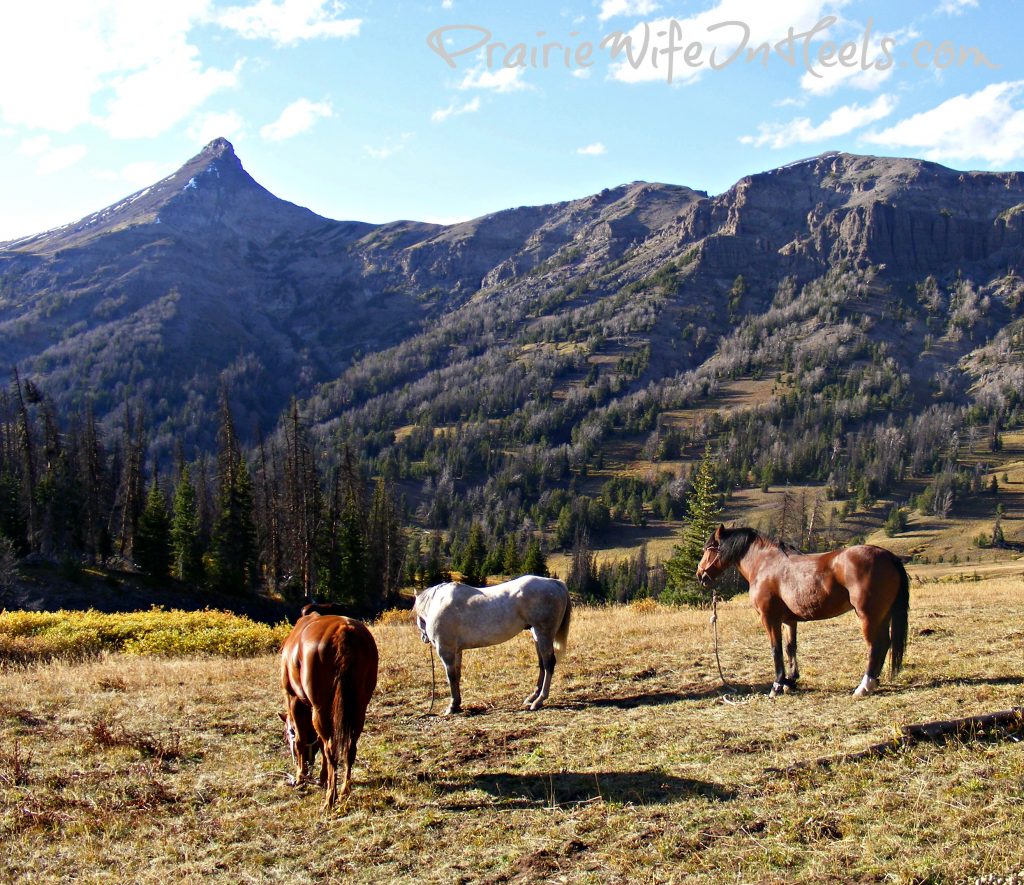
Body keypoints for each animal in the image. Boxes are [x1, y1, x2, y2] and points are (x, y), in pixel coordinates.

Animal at [278, 606, 378, 807]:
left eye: (286, 735)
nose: (306, 768)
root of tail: (344, 631)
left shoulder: (294, 699)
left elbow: (300, 740)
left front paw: (300, 777)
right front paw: (323, 777)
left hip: (320, 708)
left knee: (331, 748)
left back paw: (330, 799)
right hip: (358, 708)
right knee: (349, 748)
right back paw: (344, 790)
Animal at [415, 577, 577, 717]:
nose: (424, 638)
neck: (438, 603)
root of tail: (555, 582)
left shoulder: (445, 650)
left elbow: (451, 677)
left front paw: (452, 706)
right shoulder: (457, 651)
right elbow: (457, 675)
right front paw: (458, 703)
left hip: (543, 634)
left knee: (549, 664)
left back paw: (539, 701)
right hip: (537, 635)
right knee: (542, 664)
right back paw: (532, 697)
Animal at [700, 524, 909, 696]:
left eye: (709, 548)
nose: (700, 574)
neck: (764, 563)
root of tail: (888, 556)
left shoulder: (769, 618)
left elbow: (776, 648)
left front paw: (777, 685)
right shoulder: (788, 620)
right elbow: (790, 648)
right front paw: (790, 681)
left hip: (868, 616)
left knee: (875, 645)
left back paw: (864, 686)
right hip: (883, 615)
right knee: (885, 643)